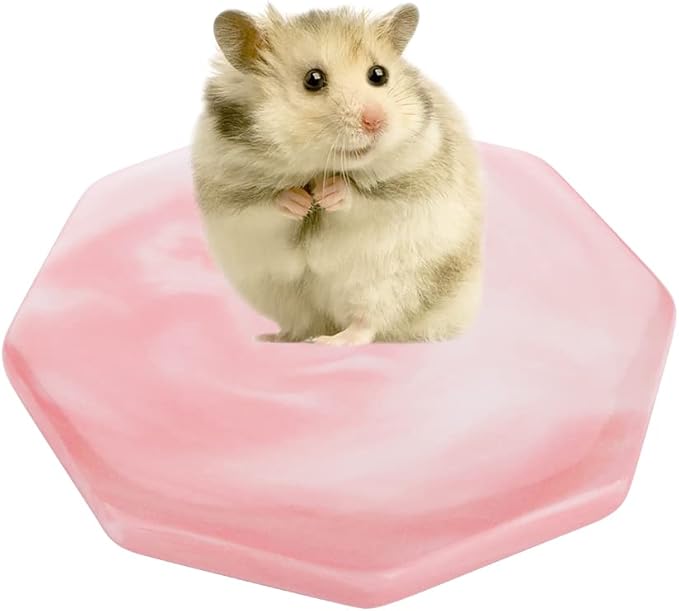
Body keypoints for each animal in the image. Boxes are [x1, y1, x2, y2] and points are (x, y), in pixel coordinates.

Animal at [191, 4, 484, 346]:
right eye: (313, 79)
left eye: (378, 74)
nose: (375, 121)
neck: (318, 167)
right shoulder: (229, 194)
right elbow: (267, 204)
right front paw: (301, 201)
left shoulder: (410, 180)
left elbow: (361, 197)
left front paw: (326, 194)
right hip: (280, 294)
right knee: (302, 323)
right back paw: (276, 337)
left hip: (389, 285)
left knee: (367, 324)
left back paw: (331, 341)